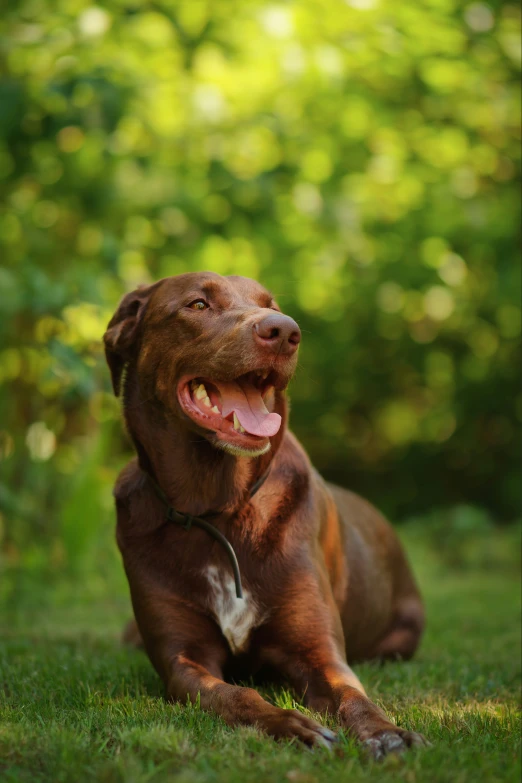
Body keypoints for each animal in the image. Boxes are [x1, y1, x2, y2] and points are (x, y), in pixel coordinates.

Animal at [103, 274, 424, 760]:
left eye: (271, 305)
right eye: (198, 304)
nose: (285, 330)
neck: (217, 508)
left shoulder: (321, 654)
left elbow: (352, 695)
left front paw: (388, 733)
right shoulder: (184, 660)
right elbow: (236, 694)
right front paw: (292, 725)